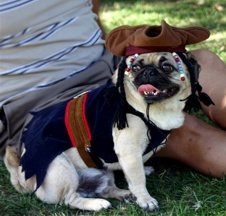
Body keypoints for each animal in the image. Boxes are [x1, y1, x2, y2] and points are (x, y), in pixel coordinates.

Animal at [3, 50, 198, 211]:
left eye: (167, 67)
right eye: (135, 67)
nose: (148, 71)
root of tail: (22, 178)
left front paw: (143, 175)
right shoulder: (129, 152)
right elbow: (137, 180)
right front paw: (145, 200)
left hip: (103, 171)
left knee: (106, 188)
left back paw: (124, 194)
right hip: (62, 168)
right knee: (69, 199)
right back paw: (96, 204)